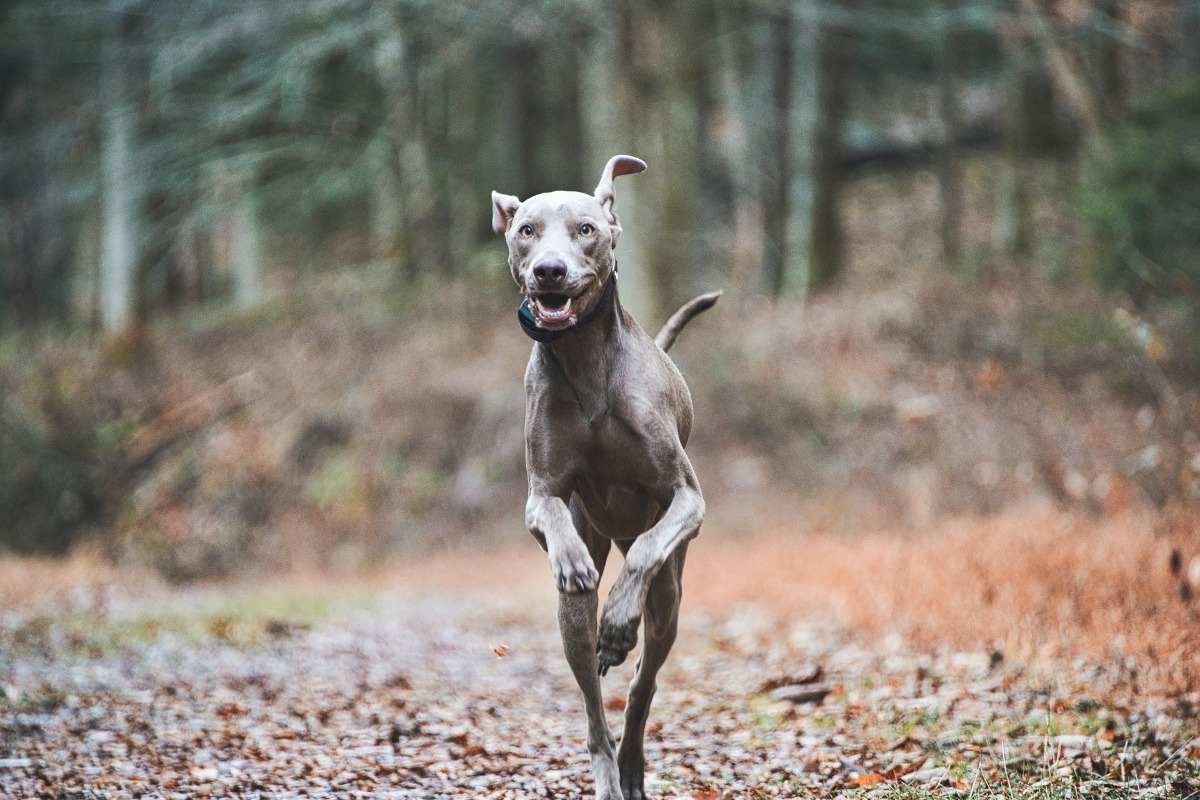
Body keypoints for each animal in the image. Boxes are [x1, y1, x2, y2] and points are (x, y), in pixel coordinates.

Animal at [489, 153, 715, 796]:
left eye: (586, 229)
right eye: (526, 230)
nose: (549, 270)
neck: (586, 359)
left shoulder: (686, 499)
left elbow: (644, 551)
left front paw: (618, 619)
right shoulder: (541, 496)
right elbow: (549, 515)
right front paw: (570, 561)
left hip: (670, 598)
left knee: (642, 679)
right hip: (574, 609)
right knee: (594, 701)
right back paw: (609, 769)